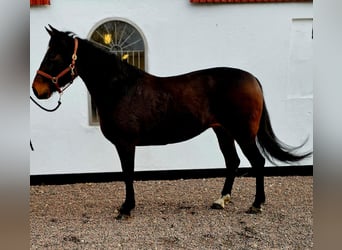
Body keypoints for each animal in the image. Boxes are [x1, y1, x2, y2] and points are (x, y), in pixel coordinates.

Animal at [32, 25, 312, 219]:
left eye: (53, 56)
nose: (37, 89)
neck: (121, 88)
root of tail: (252, 79)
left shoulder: (125, 144)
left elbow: (127, 174)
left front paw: (126, 208)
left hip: (243, 133)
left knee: (257, 162)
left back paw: (256, 204)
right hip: (223, 131)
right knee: (232, 162)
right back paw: (221, 200)